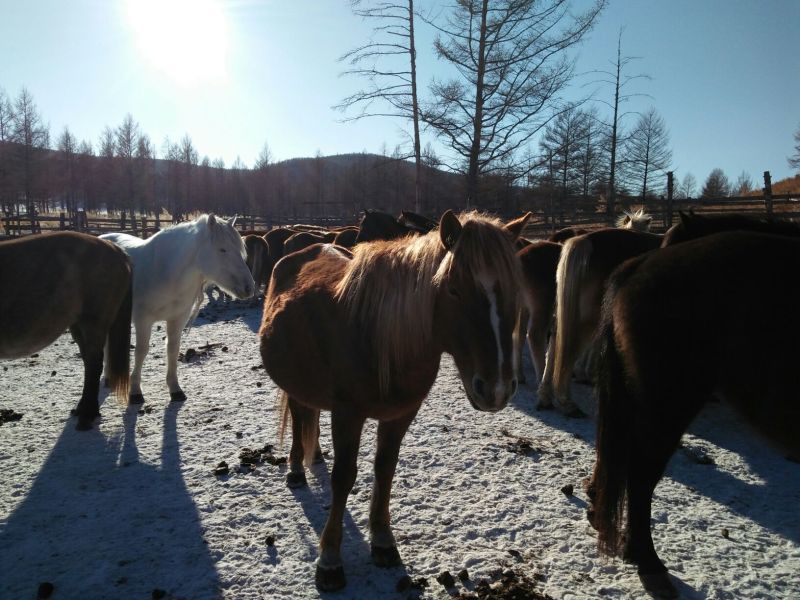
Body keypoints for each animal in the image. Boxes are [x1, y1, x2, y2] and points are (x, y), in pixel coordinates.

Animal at [101, 214, 254, 404]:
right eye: (222, 250)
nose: (249, 288)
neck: (165, 271)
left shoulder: (177, 319)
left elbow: (173, 350)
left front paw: (175, 390)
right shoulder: (143, 320)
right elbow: (141, 352)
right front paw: (135, 392)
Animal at [259, 210, 530, 591]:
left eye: (513, 292)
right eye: (454, 290)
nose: (497, 389)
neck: (379, 336)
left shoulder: (401, 415)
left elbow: (385, 470)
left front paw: (384, 541)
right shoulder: (348, 415)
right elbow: (344, 478)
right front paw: (329, 561)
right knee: (300, 415)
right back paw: (296, 468)